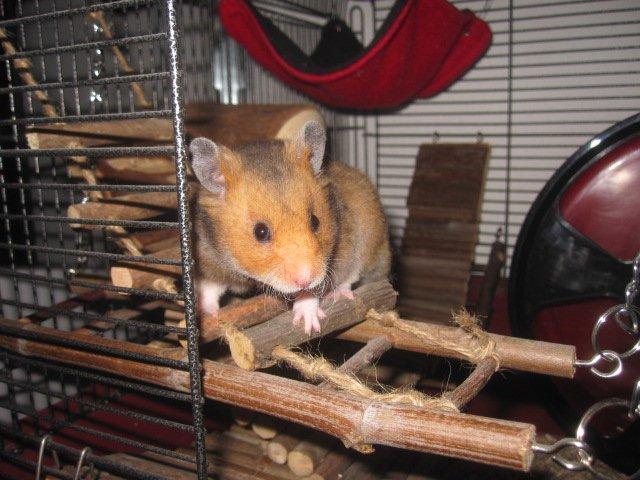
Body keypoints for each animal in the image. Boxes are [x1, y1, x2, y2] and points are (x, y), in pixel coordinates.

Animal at [189, 121, 390, 334]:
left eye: (315, 221)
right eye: (260, 232)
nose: (305, 278)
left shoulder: (334, 255)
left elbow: (312, 291)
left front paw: (308, 324)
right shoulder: (208, 256)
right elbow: (209, 287)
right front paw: (204, 315)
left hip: (370, 238)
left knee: (353, 274)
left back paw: (338, 294)